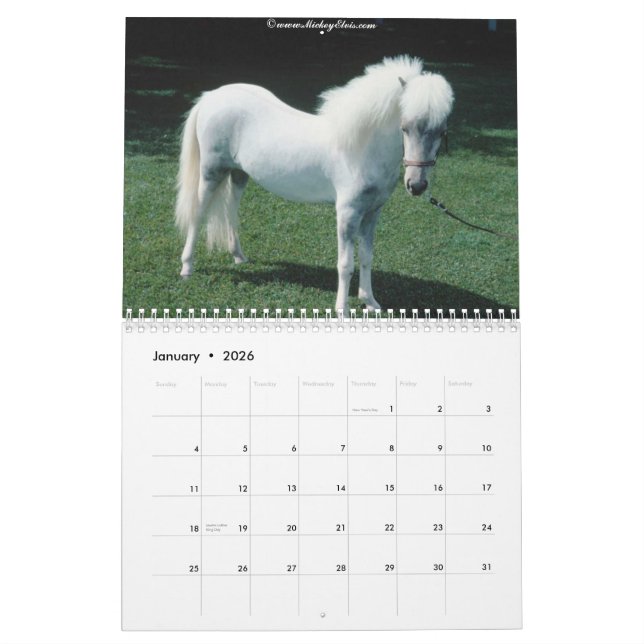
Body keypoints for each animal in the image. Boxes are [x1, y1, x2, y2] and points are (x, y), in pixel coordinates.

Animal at [175, 55, 454, 313]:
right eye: (404, 128)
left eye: (442, 131)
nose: (416, 185)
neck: (361, 148)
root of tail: (212, 97)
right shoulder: (347, 213)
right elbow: (346, 264)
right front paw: (342, 309)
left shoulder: (372, 213)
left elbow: (366, 257)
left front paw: (370, 302)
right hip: (211, 173)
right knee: (198, 213)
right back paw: (187, 267)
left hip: (239, 174)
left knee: (231, 210)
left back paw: (239, 257)